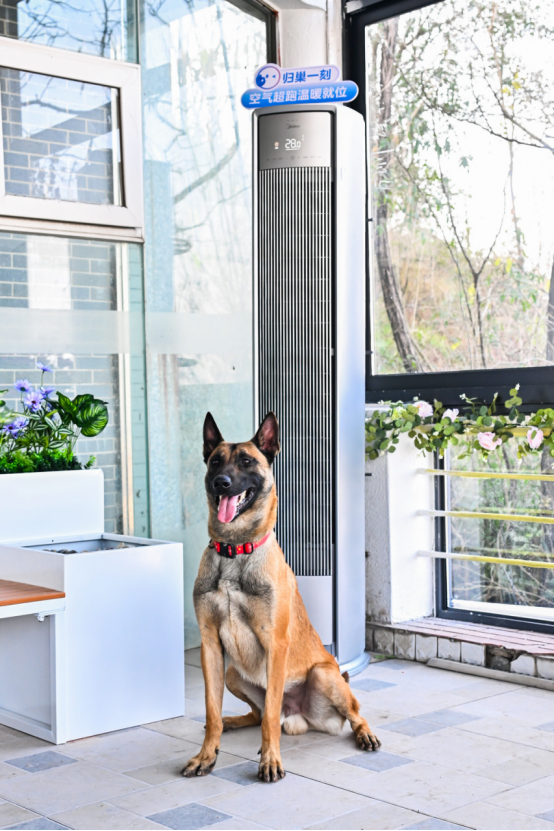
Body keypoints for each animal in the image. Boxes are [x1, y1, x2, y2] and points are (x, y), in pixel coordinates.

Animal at [182, 411, 381, 783]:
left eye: (246, 462)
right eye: (215, 461)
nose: (221, 483)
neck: (235, 550)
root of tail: (299, 715)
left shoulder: (276, 644)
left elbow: (271, 717)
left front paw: (270, 760)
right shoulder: (211, 645)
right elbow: (212, 712)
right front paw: (206, 755)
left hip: (324, 675)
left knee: (353, 713)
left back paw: (365, 735)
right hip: (232, 674)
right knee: (255, 714)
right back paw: (233, 721)